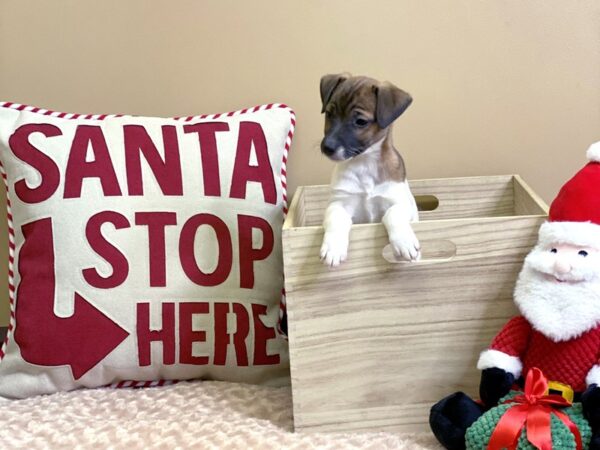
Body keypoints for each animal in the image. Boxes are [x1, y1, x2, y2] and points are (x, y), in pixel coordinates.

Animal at [318, 72, 422, 266]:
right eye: (329, 113)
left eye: (360, 121)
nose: (327, 147)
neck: (364, 163)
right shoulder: (339, 203)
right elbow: (337, 219)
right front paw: (333, 248)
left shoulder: (400, 203)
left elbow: (392, 214)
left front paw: (404, 242)